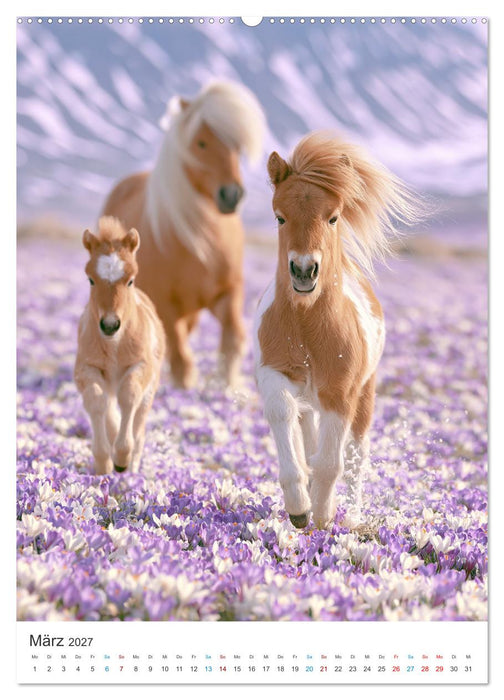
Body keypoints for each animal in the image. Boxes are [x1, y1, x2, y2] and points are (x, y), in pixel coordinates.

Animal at [74, 216, 166, 475]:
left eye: (130, 280)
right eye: (91, 280)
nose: (110, 325)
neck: (114, 345)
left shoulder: (141, 366)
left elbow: (129, 396)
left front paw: (122, 458)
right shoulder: (86, 368)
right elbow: (96, 401)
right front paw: (103, 462)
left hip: (151, 389)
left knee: (139, 423)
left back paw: (132, 467)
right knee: (108, 405)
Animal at [102, 81, 264, 389]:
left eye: (236, 145)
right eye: (201, 143)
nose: (232, 195)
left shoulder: (227, 292)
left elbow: (232, 338)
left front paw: (228, 382)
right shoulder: (166, 303)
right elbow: (179, 354)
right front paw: (184, 386)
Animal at [254, 132, 418, 530]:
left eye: (333, 217)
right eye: (279, 217)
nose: (304, 271)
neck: (305, 325)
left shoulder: (340, 391)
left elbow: (332, 462)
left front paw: (324, 516)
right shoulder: (274, 372)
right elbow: (285, 421)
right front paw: (299, 506)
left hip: (366, 394)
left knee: (357, 454)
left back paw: (353, 515)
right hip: (310, 401)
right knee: (309, 437)